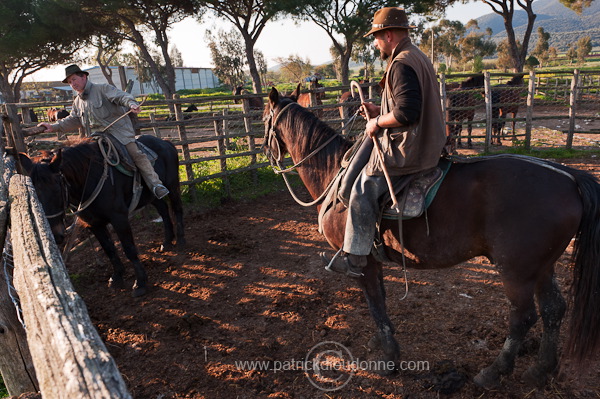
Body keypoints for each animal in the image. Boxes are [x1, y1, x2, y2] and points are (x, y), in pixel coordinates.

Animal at [19, 136, 185, 298]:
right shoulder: (94, 224)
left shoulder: (119, 219)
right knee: (164, 211)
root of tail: (166, 142)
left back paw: (181, 241)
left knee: (177, 209)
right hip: (151, 195)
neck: (89, 179)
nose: (54, 235)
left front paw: (140, 283)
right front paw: (117, 277)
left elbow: (129, 249)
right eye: (33, 191)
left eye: (56, 187)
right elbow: (109, 249)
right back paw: (167, 242)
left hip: (172, 185)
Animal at [264, 87, 600, 390]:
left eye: (266, 118)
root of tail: (569, 177)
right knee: (553, 310)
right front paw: (380, 342)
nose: (269, 158)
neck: (336, 172)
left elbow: (375, 303)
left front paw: (389, 359)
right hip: (541, 266)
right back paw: (541, 370)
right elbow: (379, 300)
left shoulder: (361, 263)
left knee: (523, 317)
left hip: (516, 271)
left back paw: (493, 372)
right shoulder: (375, 261)